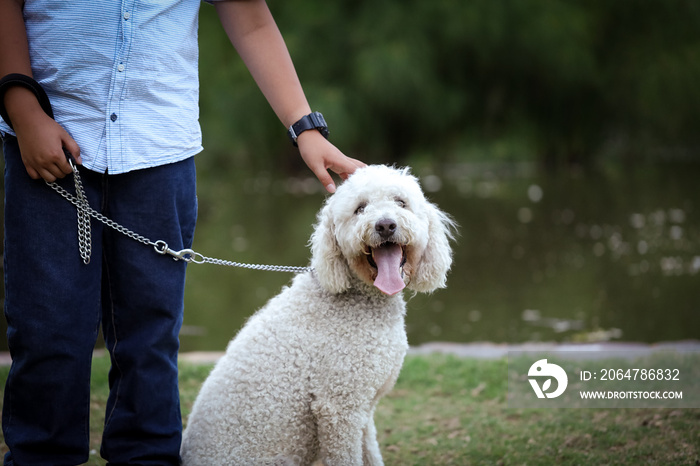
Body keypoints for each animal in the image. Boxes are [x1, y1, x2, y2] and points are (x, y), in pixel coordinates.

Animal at [180, 166, 454, 464]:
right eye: (360, 209)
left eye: (401, 202)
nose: (385, 225)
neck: (363, 299)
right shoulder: (339, 407)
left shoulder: (363, 409)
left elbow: (371, 453)